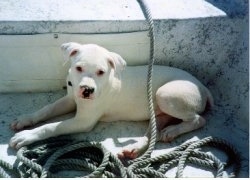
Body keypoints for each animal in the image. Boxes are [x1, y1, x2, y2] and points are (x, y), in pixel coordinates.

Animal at [9, 42, 213, 159]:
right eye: (78, 68)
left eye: (101, 72)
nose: (87, 90)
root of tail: (203, 87)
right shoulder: (71, 99)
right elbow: (47, 109)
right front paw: (25, 120)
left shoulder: (83, 121)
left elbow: (51, 126)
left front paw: (26, 136)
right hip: (158, 110)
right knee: (153, 132)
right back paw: (135, 147)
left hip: (164, 94)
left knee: (199, 119)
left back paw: (174, 130)